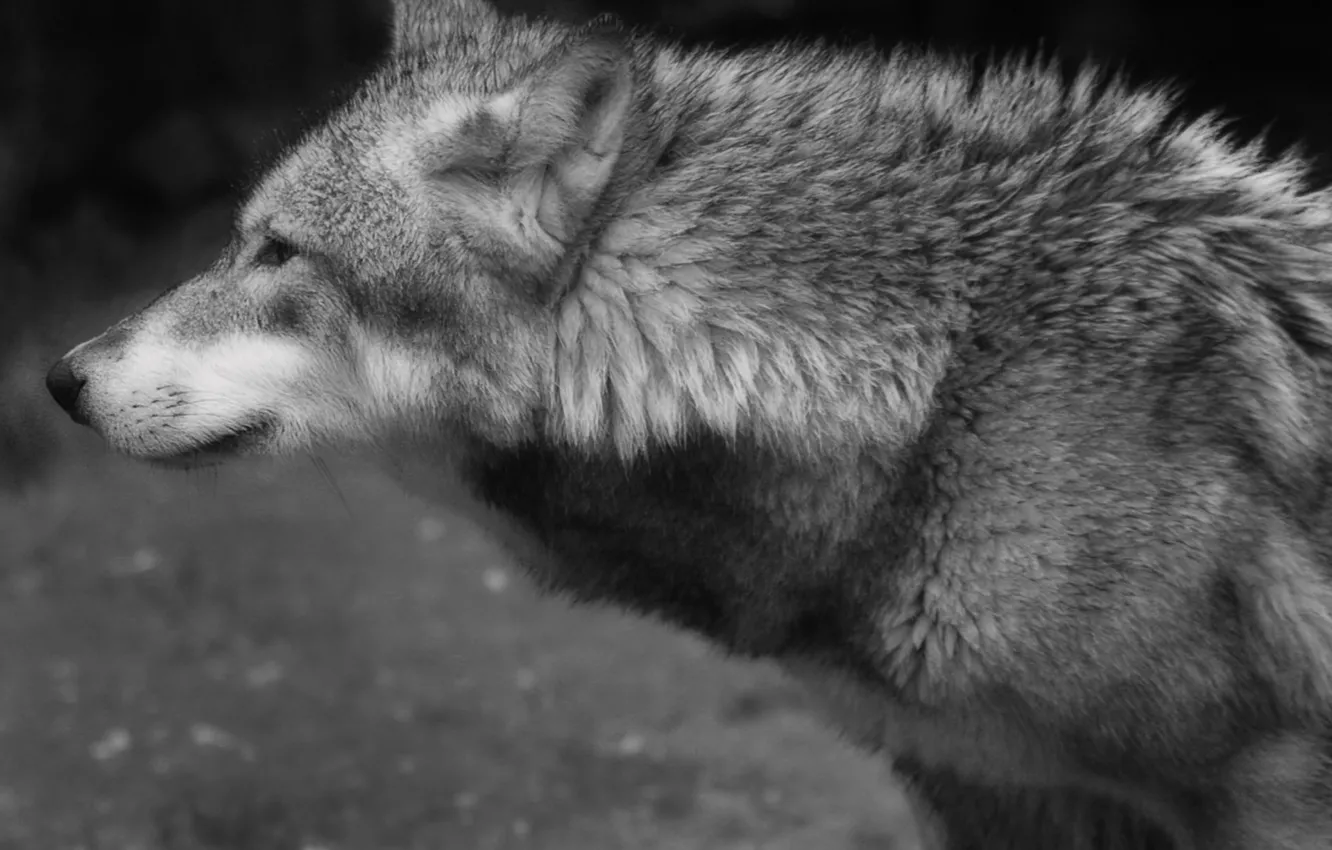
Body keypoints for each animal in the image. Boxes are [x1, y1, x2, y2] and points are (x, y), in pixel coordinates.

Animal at [43, 0, 1332, 846]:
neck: (943, 391)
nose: (60, 378)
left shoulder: (1260, 792)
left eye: (278, 252)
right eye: (240, 240)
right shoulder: (990, 788)